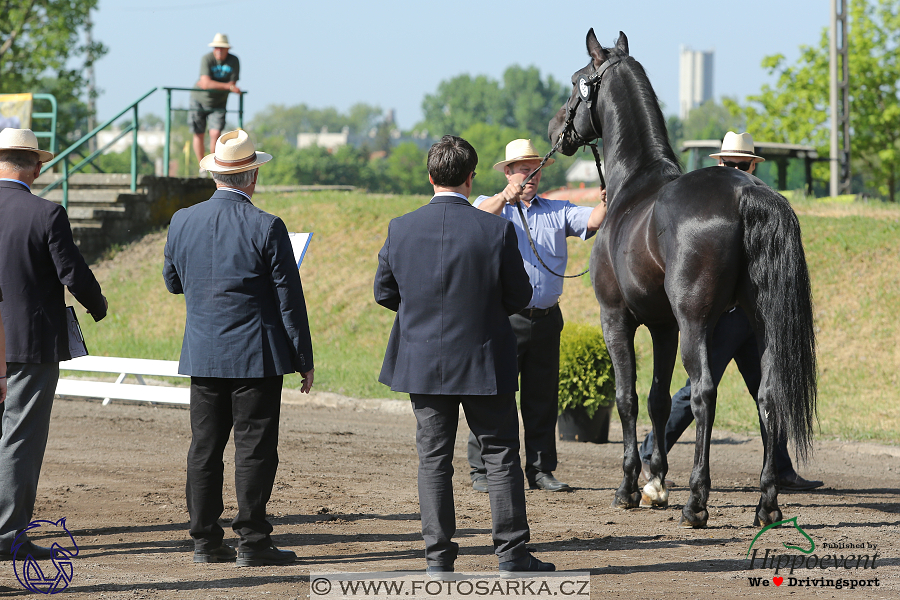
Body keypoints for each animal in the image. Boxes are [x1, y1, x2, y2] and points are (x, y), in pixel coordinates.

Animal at [544, 29, 820, 524]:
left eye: (576, 81)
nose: (556, 130)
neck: (634, 186)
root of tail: (746, 193)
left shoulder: (616, 317)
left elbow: (628, 397)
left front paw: (630, 487)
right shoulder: (662, 325)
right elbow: (657, 397)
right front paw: (656, 482)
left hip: (695, 322)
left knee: (704, 392)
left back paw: (697, 502)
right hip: (760, 322)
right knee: (768, 395)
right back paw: (766, 505)